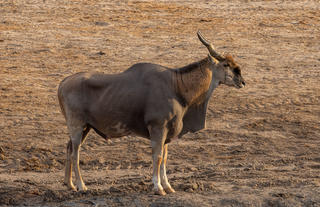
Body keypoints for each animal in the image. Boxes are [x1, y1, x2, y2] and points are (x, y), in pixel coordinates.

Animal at [58, 30, 245, 194]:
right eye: (226, 64)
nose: (242, 81)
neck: (176, 86)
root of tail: (62, 83)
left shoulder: (167, 132)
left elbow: (165, 157)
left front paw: (168, 186)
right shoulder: (158, 128)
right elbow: (158, 157)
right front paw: (158, 187)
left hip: (86, 128)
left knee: (69, 148)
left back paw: (69, 184)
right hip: (77, 126)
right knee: (75, 153)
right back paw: (81, 186)